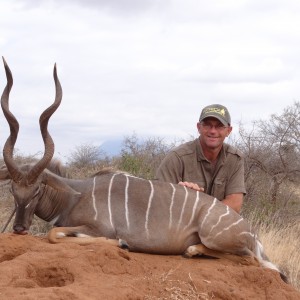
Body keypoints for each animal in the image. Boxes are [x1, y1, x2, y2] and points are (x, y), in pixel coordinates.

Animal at [0, 56, 288, 284]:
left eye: (37, 190)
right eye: (13, 190)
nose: (19, 228)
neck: (74, 194)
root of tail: (251, 232)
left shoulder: (98, 228)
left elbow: (54, 234)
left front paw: (122, 242)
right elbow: (54, 232)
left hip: (215, 237)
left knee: (248, 259)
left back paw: (193, 250)